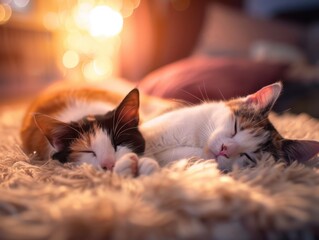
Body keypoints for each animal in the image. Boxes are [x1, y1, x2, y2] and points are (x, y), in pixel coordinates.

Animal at [20, 86, 160, 176]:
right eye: (87, 151)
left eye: (119, 142)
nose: (109, 165)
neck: (87, 113)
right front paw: (127, 166)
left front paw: (146, 164)